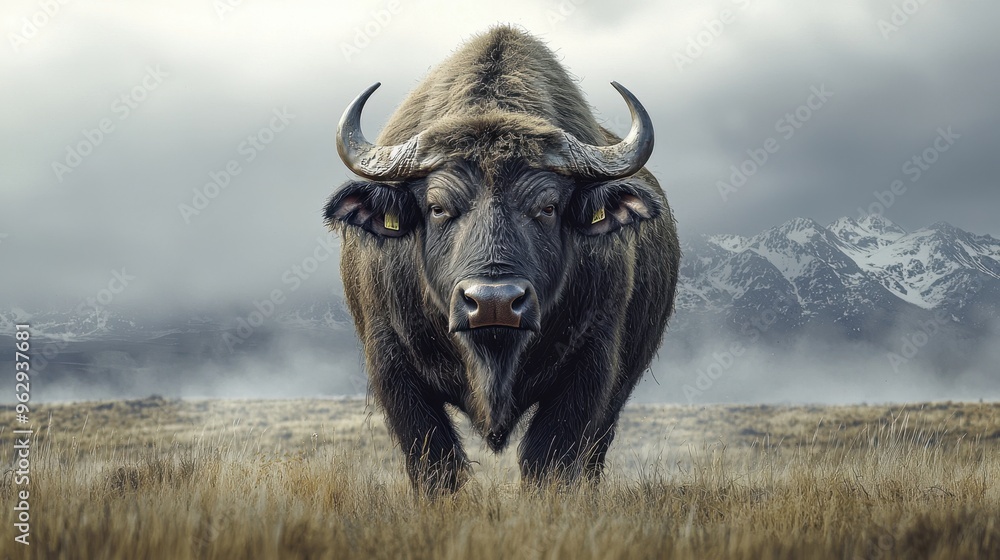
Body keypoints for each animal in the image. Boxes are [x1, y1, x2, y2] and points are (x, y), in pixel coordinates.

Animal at [324, 26, 679, 494]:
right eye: (437, 207)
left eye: (547, 207)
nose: (494, 302)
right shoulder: (393, 366)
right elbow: (436, 464)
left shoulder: (591, 365)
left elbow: (550, 461)